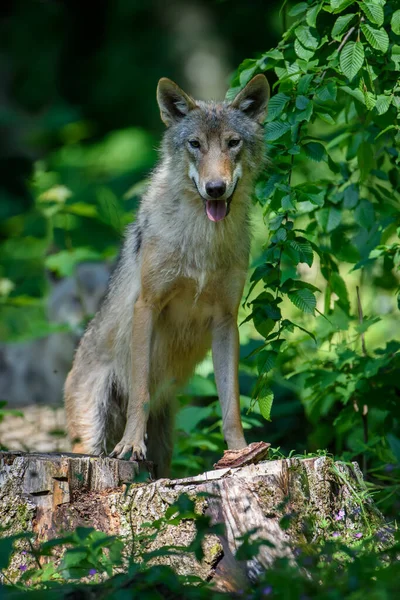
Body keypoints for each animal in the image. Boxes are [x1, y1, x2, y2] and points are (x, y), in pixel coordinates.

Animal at [65, 75, 270, 476]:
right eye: (195, 144)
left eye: (232, 143)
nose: (215, 189)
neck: (203, 241)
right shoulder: (148, 306)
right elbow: (141, 392)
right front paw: (130, 446)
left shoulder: (226, 321)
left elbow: (230, 405)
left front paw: (240, 454)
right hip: (89, 440)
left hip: (166, 447)